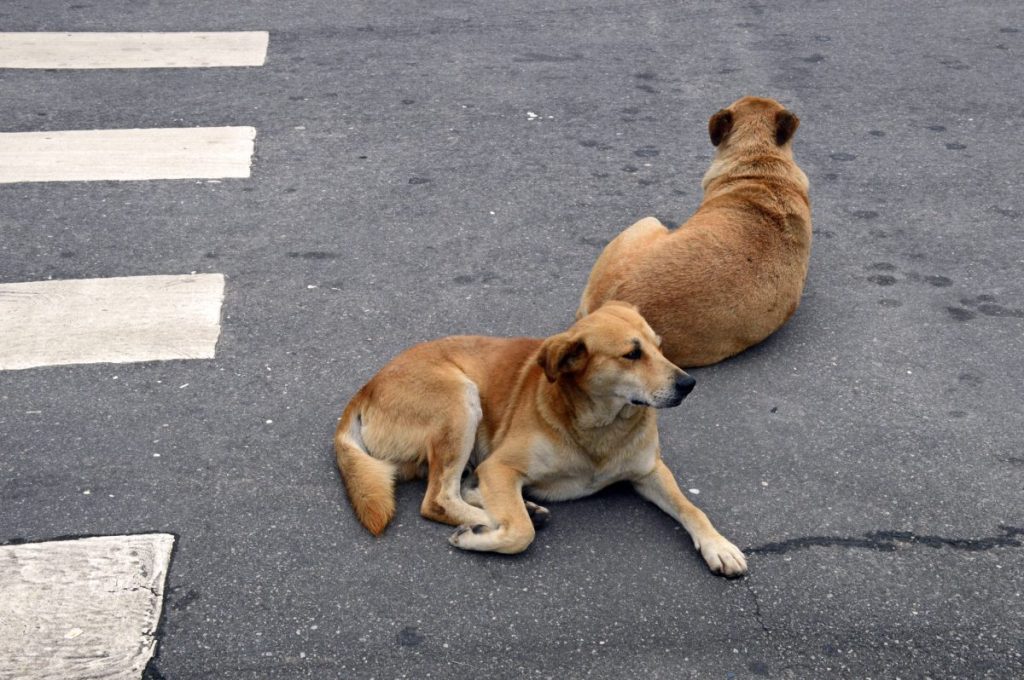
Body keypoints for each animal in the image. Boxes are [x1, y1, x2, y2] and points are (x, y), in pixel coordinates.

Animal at [333, 305, 745, 577]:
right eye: (632, 354)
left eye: (660, 347)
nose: (689, 384)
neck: (600, 426)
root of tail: (367, 388)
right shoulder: (499, 467)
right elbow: (520, 534)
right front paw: (483, 535)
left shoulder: (650, 472)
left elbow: (691, 508)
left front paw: (719, 546)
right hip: (460, 401)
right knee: (439, 499)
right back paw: (492, 519)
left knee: (458, 490)